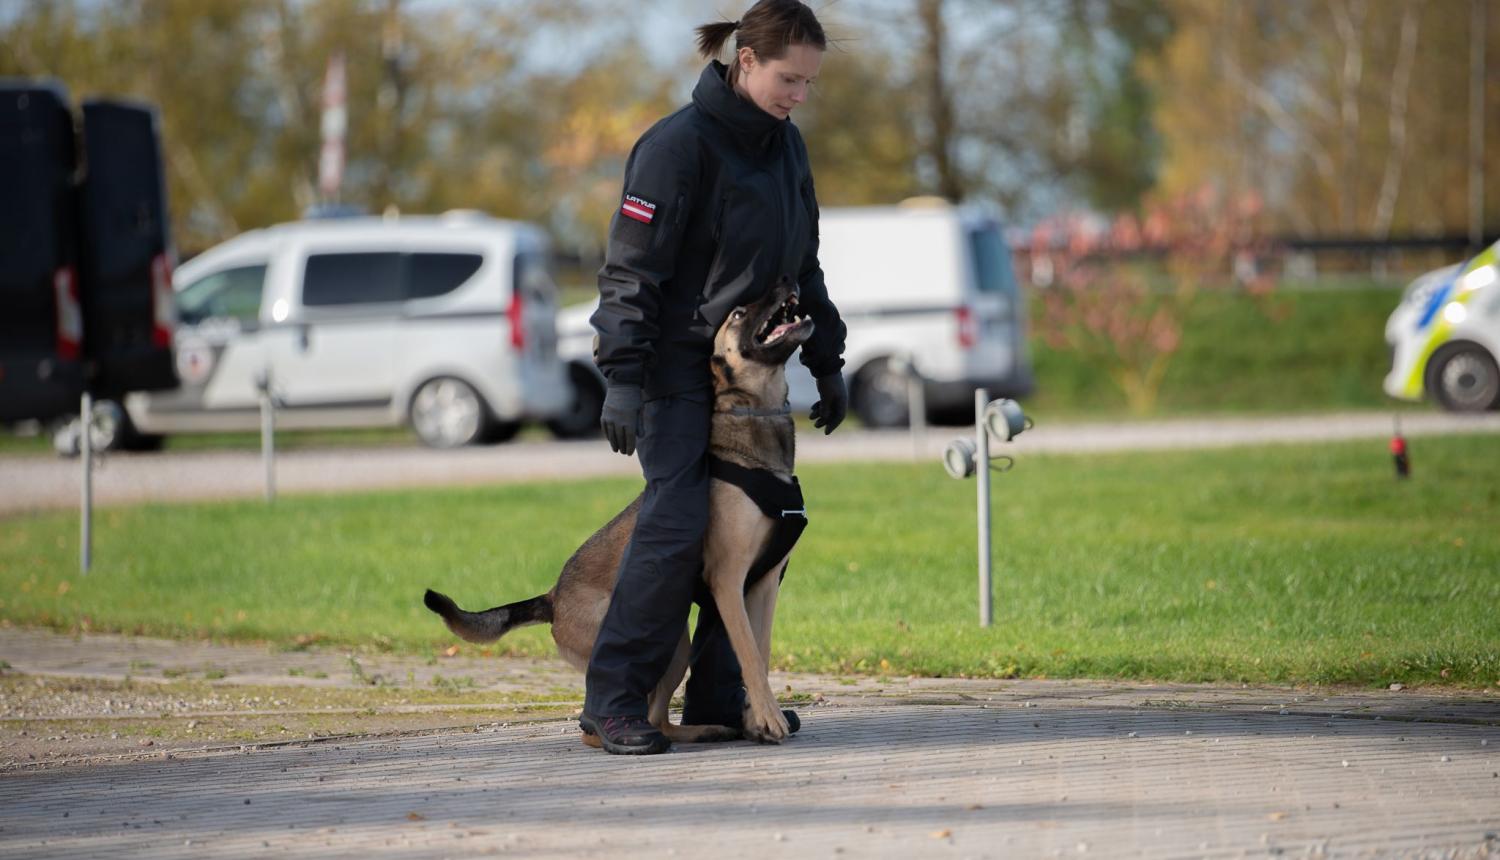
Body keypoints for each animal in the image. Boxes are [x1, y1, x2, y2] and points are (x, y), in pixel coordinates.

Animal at [423, 276, 816, 744]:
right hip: (666, 641)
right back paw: (623, 730)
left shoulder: (764, 584)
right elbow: (751, 658)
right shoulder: (728, 582)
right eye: (738, 313)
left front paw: (758, 718)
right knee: (613, 717)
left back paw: (706, 729)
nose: (787, 280)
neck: (753, 417)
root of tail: (553, 597)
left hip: (677, 645)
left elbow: (760, 651)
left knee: (659, 718)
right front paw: (769, 720)